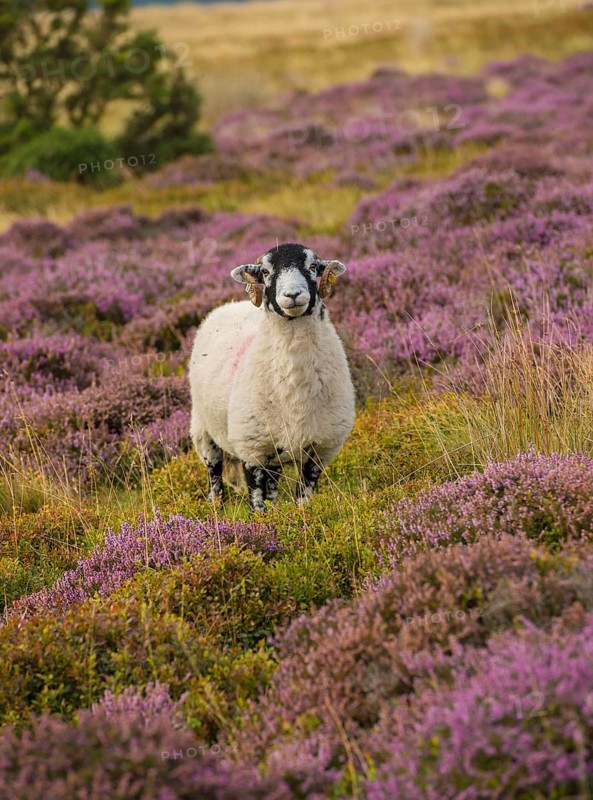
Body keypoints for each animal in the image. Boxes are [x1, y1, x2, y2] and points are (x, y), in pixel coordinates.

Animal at [189, 242, 356, 512]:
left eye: (312, 266)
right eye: (265, 272)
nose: (293, 295)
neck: (296, 388)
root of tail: (231, 304)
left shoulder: (319, 452)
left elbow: (303, 498)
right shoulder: (252, 450)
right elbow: (257, 503)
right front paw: (262, 519)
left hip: (276, 451)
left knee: (272, 484)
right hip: (204, 430)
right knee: (214, 474)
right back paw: (216, 507)